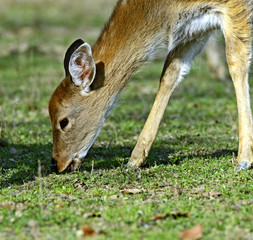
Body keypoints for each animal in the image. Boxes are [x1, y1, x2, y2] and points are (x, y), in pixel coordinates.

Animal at [49, 0, 253, 172]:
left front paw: (243, 160)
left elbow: (236, 62)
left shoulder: (235, 6)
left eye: (63, 121)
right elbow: (169, 73)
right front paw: (134, 160)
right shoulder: (193, 29)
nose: (55, 164)